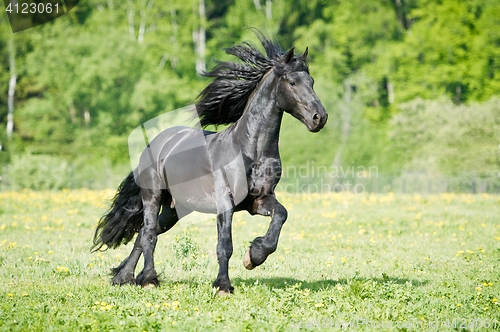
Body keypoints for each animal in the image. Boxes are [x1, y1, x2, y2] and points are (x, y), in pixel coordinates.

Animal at [93, 32, 328, 294]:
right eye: (292, 82)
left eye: (312, 82)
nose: (319, 118)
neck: (251, 151)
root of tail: (155, 143)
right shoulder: (225, 202)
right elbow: (224, 244)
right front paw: (224, 285)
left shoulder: (259, 200)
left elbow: (281, 215)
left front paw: (254, 256)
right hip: (152, 196)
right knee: (149, 234)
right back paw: (149, 279)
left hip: (173, 210)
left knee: (144, 233)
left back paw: (124, 277)